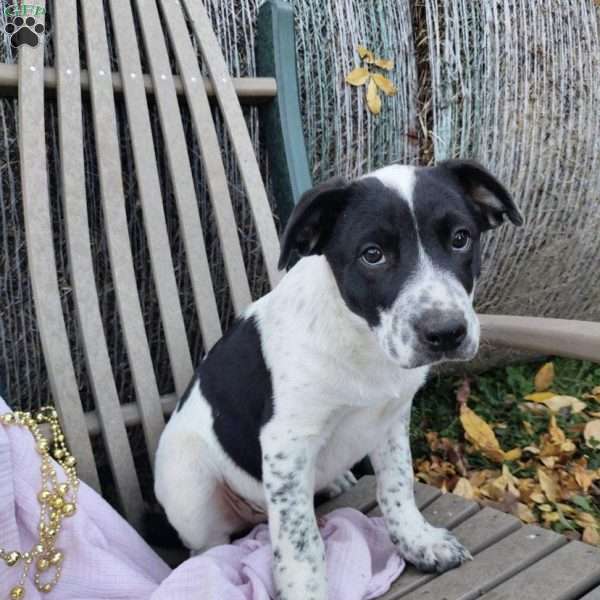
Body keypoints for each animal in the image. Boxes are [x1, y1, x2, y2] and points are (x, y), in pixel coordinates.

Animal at [155, 161, 520, 600]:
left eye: (460, 239)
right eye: (372, 255)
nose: (446, 333)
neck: (363, 343)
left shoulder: (391, 420)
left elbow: (397, 486)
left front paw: (418, 542)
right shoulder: (287, 444)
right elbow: (300, 542)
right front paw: (306, 591)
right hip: (189, 485)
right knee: (207, 547)